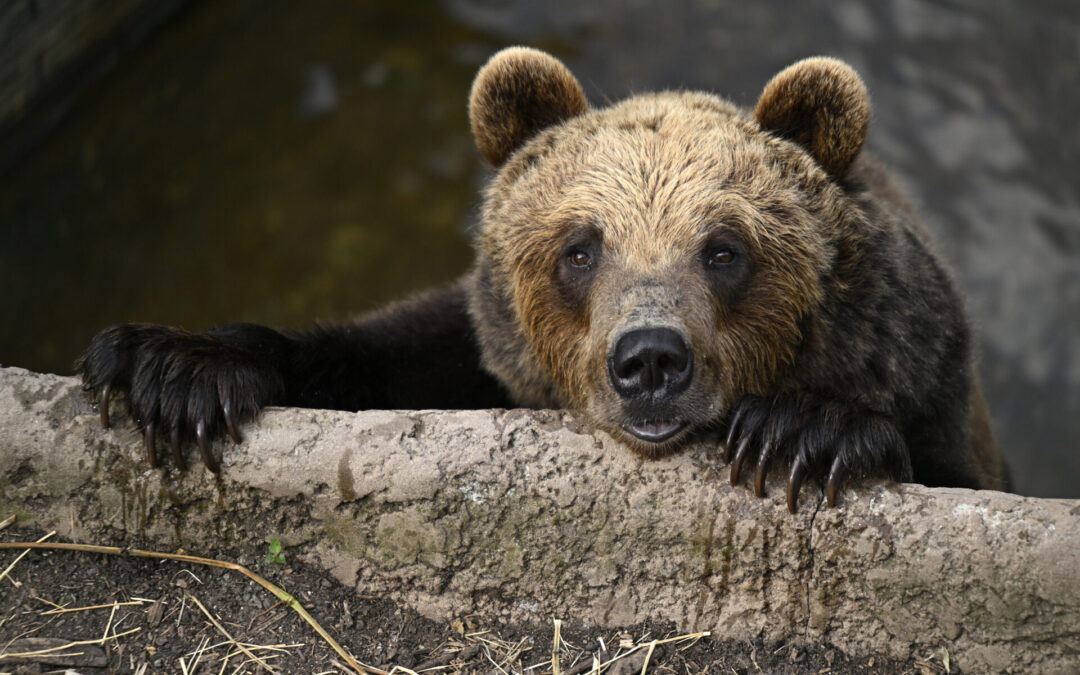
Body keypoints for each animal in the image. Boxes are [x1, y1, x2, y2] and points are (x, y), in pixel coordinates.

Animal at [78, 47, 1010, 509]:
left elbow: (934, 463)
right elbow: (363, 353)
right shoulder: (481, 347)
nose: (650, 360)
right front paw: (171, 367)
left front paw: (802, 430)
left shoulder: (919, 368)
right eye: (579, 248)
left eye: (723, 249)